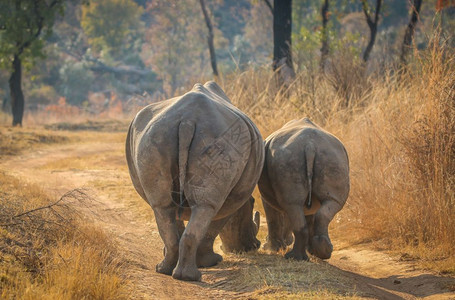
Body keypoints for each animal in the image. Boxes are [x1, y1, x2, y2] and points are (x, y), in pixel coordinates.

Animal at [126, 81, 266, 280]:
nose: (254, 246)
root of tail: (188, 120)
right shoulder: (233, 199)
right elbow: (215, 225)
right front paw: (211, 261)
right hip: (218, 139)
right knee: (204, 207)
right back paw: (190, 275)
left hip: (155, 136)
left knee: (164, 207)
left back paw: (168, 271)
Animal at [258, 118, 350, 262]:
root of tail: (310, 145)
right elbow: (307, 216)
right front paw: (310, 249)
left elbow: (272, 216)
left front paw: (272, 248)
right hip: (332, 157)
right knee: (330, 202)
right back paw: (323, 251)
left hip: (291, 158)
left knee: (292, 205)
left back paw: (294, 257)